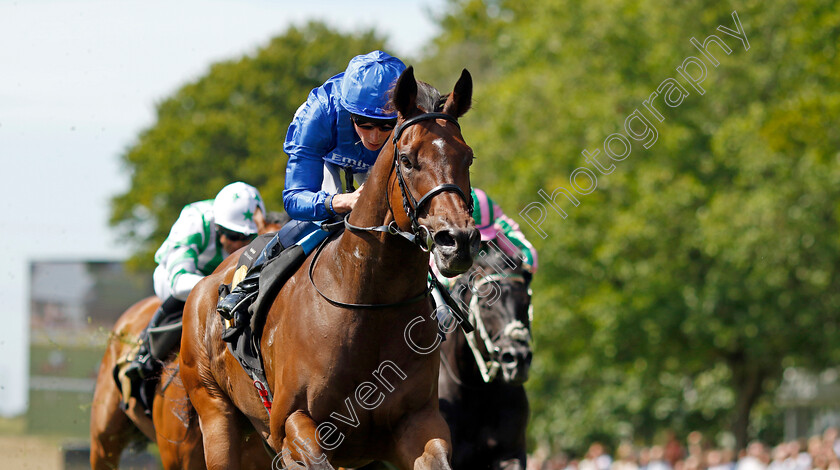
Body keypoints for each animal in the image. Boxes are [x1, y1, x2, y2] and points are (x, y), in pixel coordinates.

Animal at [178, 67, 480, 470]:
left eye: (468, 158)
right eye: (407, 159)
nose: (456, 241)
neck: (370, 305)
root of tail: (203, 288)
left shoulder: (418, 422)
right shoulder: (292, 425)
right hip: (215, 413)